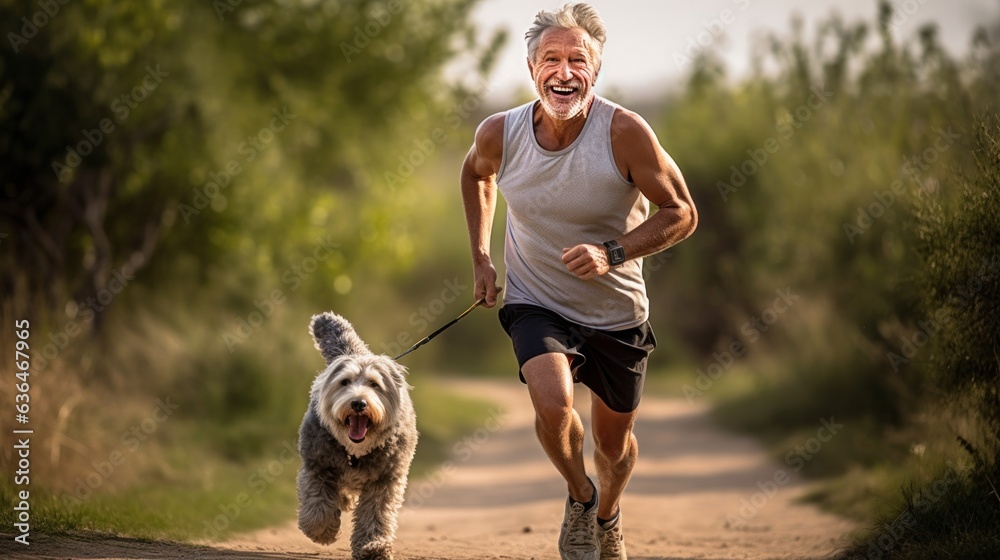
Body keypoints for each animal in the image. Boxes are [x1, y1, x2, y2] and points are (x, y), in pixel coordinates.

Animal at [300, 312, 418, 556]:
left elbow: (375, 514)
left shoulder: (385, 479)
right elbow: (317, 504)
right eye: (344, 382)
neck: (355, 452)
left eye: (374, 384)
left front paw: (373, 546)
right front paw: (322, 531)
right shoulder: (317, 466)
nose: (358, 403)